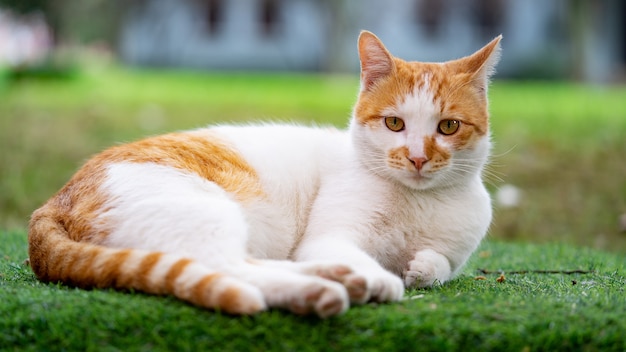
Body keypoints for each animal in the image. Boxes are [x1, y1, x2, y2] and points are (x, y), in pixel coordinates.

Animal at [29, 30, 500, 318]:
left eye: (448, 127)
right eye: (395, 123)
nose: (418, 158)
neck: (416, 202)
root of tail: (53, 202)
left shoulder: (456, 249)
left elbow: (442, 264)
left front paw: (420, 266)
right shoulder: (329, 237)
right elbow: (355, 254)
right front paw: (383, 277)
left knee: (247, 262)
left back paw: (334, 279)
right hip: (204, 213)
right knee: (226, 267)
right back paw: (325, 288)